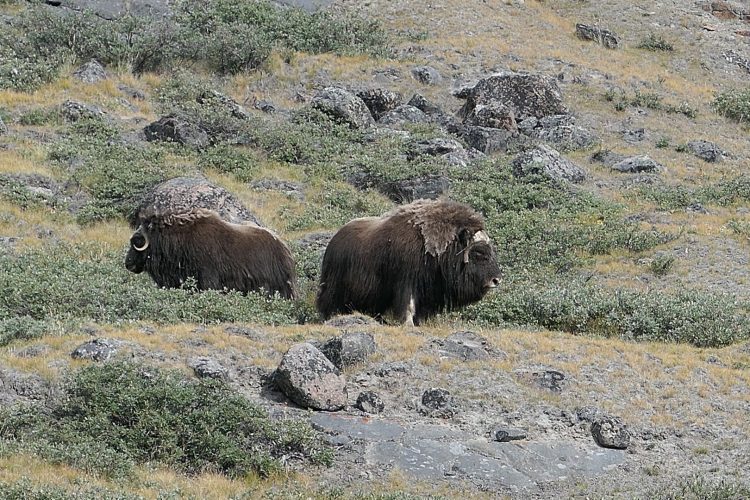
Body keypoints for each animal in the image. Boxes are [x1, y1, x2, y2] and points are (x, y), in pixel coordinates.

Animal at [316, 198, 501, 325]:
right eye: (479, 252)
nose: (496, 280)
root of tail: (334, 240)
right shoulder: (407, 282)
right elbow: (408, 305)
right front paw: (408, 324)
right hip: (334, 286)